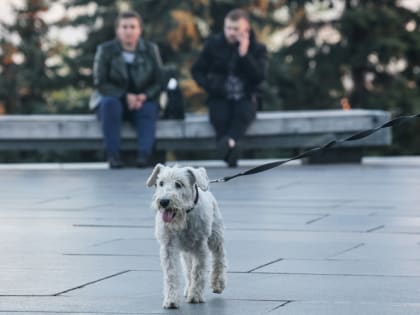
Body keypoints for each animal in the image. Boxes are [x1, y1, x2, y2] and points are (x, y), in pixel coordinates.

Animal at [147, 164, 226, 310]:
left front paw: (195, 296)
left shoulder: (200, 246)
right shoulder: (168, 247)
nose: (164, 201)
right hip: (187, 251)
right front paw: (171, 300)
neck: (184, 216)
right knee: (188, 269)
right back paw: (188, 288)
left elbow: (198, 271)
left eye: (179, 184)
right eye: (160, 183)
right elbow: (171, 273)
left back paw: (218, 284)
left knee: (220, 257)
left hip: (215, 237)